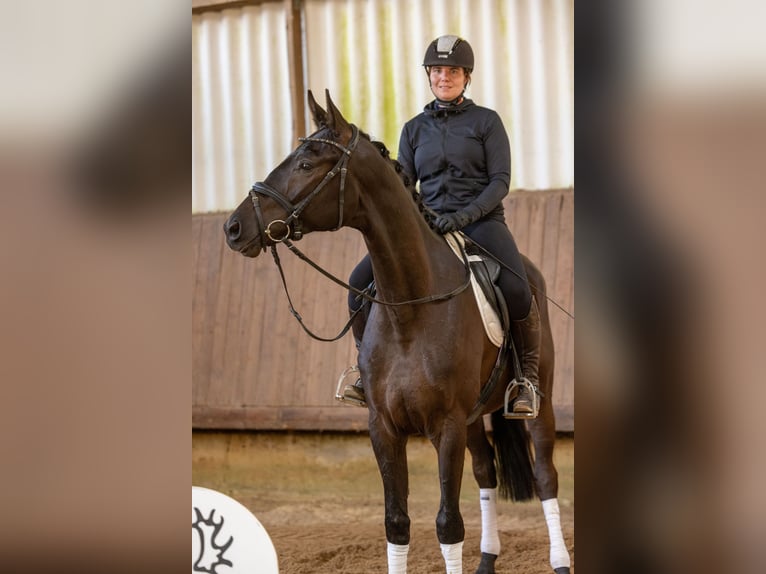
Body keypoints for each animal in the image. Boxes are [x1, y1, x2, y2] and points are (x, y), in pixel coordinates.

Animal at [223, 90, 571, 574]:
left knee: (545, 476)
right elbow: (397, 522)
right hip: (473, 417)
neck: (412, 307)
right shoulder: (384, 427)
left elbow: (448, 525)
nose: (234, 228)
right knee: (486, 473)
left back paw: (559, 561)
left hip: (538, 402)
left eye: (307, 164)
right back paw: (487, 559)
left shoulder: (446, 426)